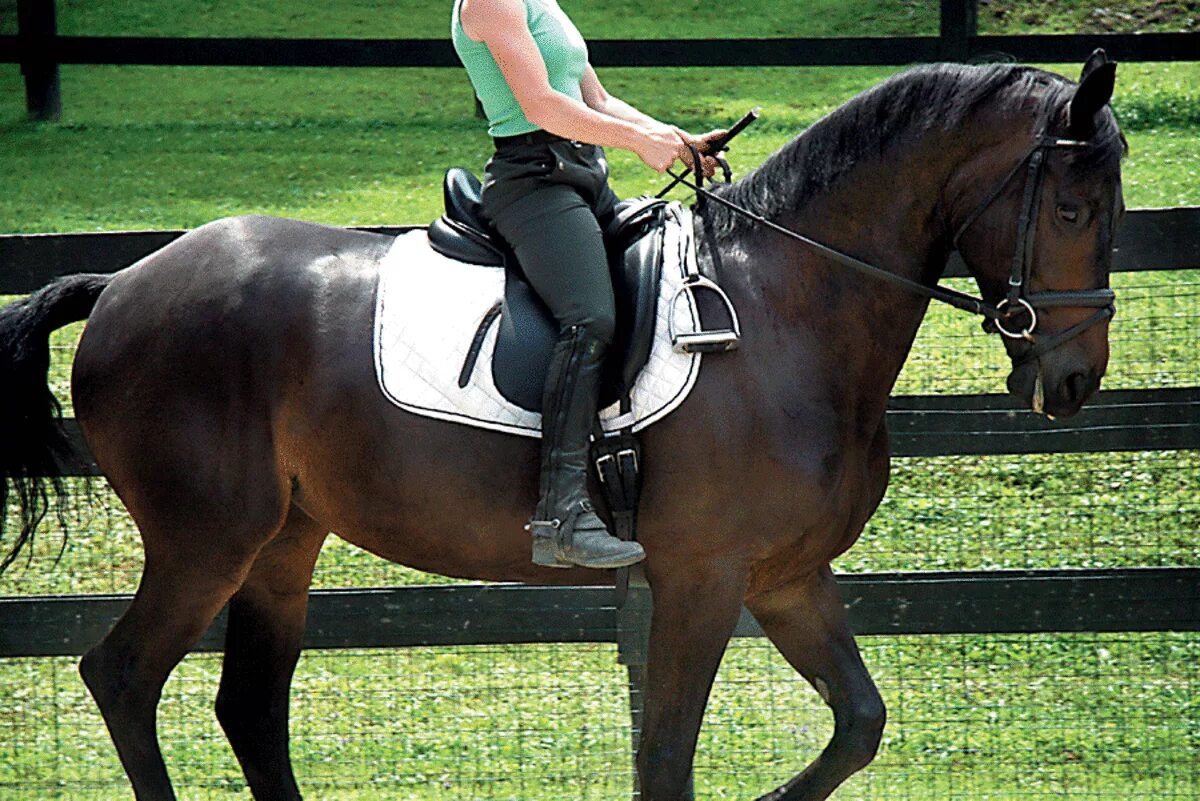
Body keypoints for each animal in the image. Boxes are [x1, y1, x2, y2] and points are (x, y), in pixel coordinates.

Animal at [0, 59, 1123, 801]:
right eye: (1073, 207)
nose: (1072, 381)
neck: (782, 306)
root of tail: (124, 282)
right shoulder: (702, 578)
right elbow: (667, 757)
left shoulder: (786, 576)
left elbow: (858, 723)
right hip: (206, 540)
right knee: (124, 677)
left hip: (283, 541)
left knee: (248, 705)